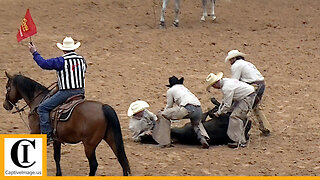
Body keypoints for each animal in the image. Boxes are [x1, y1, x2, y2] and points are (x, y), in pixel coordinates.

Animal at [2, 72, 130, 176]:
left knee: (94, 164)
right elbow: (57, 157)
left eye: (7, 88)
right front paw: (58, 174)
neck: (38, 101)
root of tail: (103, 107)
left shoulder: (35, 133)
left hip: (89, 145)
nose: (5, 105)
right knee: (122, 161)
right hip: (111, 138)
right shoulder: (56, 139)